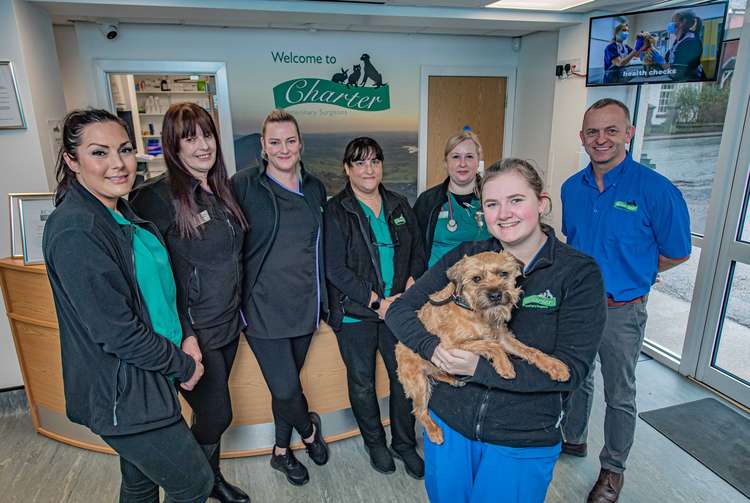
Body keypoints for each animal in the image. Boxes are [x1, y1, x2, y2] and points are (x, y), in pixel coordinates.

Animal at [400, 252, 568, 444]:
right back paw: (434, 430)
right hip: (418, 382)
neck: (472, 309)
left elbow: (530, 351)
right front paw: (505, 365)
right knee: (419, 411)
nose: (496, 295)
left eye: (503, 274)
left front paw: (555, 366)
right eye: (476, 279)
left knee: (436, 373)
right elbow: (491, 345)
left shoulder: (503, 337)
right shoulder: (450, 345)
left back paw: (452, 379)